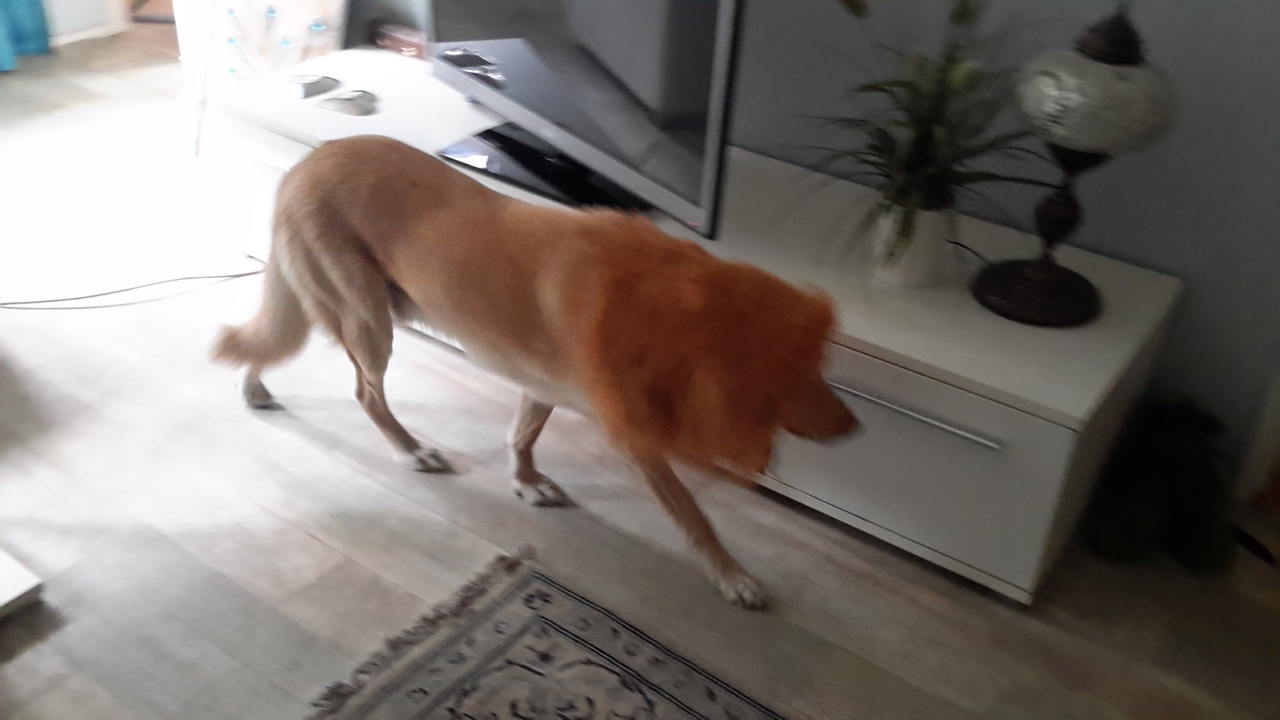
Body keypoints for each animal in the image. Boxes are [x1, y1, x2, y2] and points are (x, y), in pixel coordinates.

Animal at [213, 135, 857, 608]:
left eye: (819, 365)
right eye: (794, 372)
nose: (855, 429)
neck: (659, 308)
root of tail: (303, 164)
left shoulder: (540, 385)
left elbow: (523, 435)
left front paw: (526, 482)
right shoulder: (634, 436)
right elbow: (693, 514)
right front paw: (731, 574)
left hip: (325, 302)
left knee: (268, 342)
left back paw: (254, 386)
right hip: (368, 317)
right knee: (366, 392)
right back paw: (410, 450)